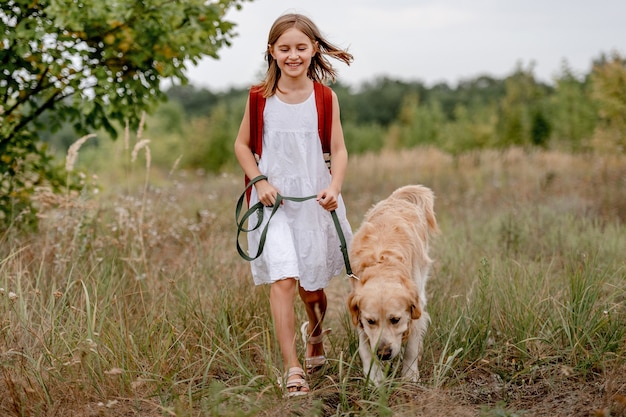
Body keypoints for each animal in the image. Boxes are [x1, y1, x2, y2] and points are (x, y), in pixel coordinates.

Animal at [344, 184, 436, 386]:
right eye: (371, 321)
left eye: (395, 319)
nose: (384, 353)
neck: (382, 263)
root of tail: (396, 199)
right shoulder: (359, 316)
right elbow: (365, 349)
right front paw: (374, 378)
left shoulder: (417, 306)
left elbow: (411, 347)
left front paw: (410, 376)